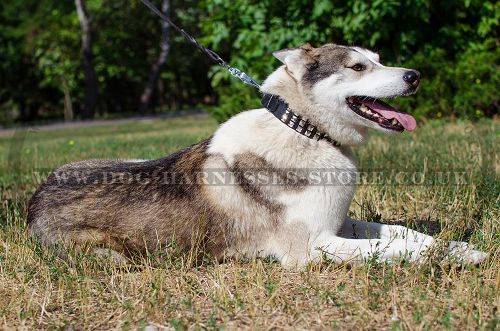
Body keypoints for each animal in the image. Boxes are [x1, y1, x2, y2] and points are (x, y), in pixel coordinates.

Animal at [27, 42, 488, 268]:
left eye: (379, 60)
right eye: (358, 68)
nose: (415, 76)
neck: (306, 130)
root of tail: (32, 202)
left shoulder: (338, 222)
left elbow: (403, 233)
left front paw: (457, 246)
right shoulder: (311, 248)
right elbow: (397, 250)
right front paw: (457, 257)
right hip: (112, 258)